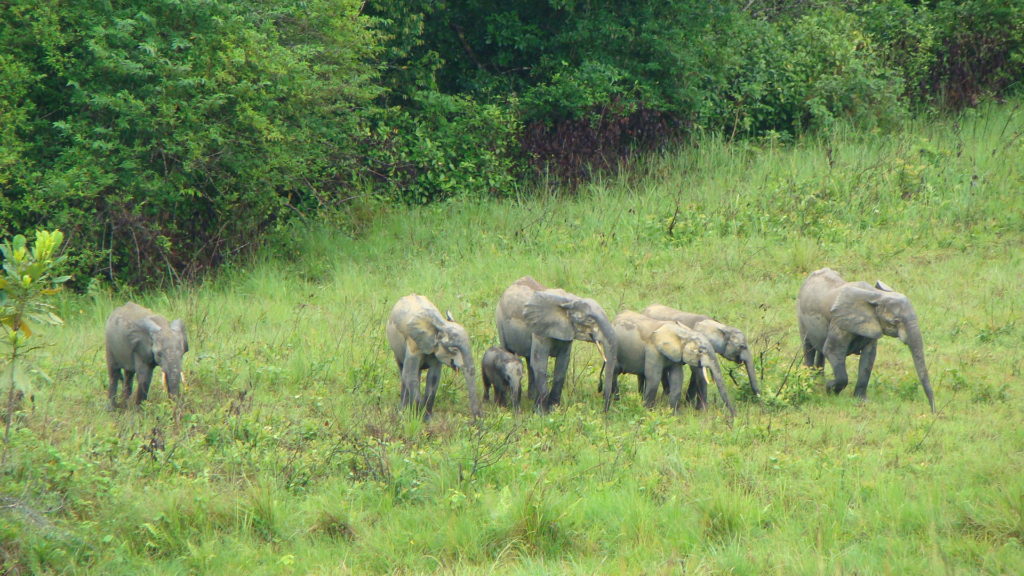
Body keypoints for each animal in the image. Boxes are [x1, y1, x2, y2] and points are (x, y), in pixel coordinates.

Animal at [495, 276, 614, 409]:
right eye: (589, 320)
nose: (604, 409)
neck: (570, 300)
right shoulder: (540, 330)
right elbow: (540, 364)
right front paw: (542, 411)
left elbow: (562, 364)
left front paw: (554, 408)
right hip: (500, 321)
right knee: (510, 352)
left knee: (529, 361)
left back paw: (530, 399)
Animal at [794, 266, 933, 409]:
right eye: (894, 322)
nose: (933, 410)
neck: (877, 295)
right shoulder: (839, 323)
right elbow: (833, 351)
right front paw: (830, 389)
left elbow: (869, 357)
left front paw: (861, 400)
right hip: (801, 316)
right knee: (808, 347)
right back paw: (810, 380)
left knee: (820, 349)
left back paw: (819, 379)